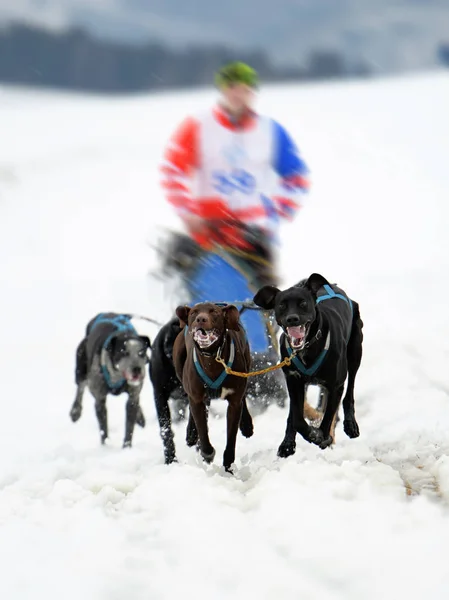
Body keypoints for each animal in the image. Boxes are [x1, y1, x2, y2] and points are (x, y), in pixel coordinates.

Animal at [69, 314, 151, 446]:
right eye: (123, 352)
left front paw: (127, 446)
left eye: (141, 352)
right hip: (81, 368)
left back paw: (140, 418)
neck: (117, 376)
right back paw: (75, 411)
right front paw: (106, 445)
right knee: (80, 387)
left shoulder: (133, 396)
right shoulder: (100, 399)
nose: (137, 369)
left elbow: (130, 425)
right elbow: (103, 428)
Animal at [173, 302, 254, 472]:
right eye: (194, 312)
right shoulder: (197, 398)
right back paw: (191, 434)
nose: (201, 319)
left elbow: (231, 437)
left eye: (214, 312)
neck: (212, 358)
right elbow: (202, 428)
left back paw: (246, 425)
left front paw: (228, 466)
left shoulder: (234, 403)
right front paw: (207, 453)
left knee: (243, 398)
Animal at [252, 274, 364, 458]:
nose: (292, 319)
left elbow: (328, 416)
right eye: (281, 305)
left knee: (349, 392)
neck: (307, 347)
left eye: (303, 303)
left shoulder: (336, 385)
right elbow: (296, 418)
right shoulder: (293, 381)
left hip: (355, 352)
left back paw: (349, 425)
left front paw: (322, 437)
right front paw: (295, 441)